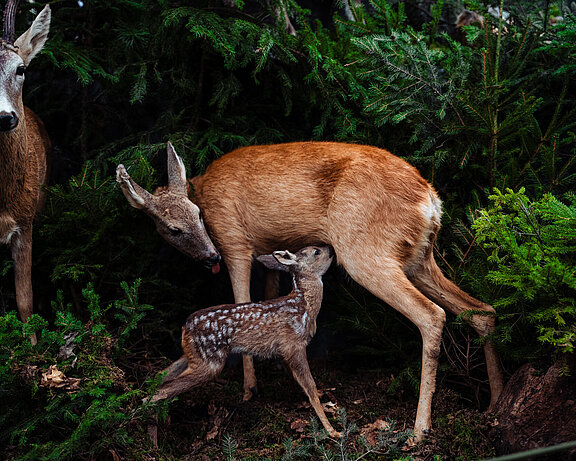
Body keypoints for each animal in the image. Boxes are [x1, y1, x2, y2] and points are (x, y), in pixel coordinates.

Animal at [119, 141, 502, 442]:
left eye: (197, 217)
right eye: (173, 228)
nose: (209, 256)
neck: (200, 191)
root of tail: (430, 200)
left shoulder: (234, 240)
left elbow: (242, 300)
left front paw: (249, 388)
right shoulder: (268, 251)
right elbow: (270, 293)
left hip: (366, 251)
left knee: (431, 315)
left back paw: (419, 430)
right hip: (419, 257)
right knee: (483, 310)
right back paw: (495, 405)